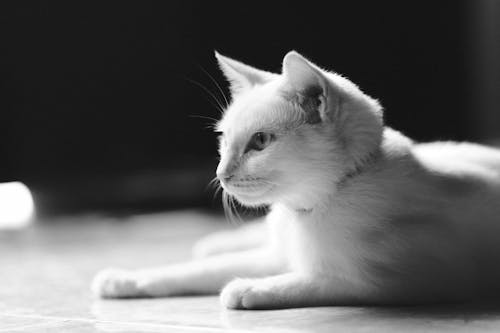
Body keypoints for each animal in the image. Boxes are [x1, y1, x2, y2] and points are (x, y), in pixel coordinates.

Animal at [92, 50, 500, 308]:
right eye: (224, 139)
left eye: (259, 142)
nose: (221, 175)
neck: (303, 213)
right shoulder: (276, 254)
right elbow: (192, 271)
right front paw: (124, 279)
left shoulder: (420, 281)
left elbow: (321, 281)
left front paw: (249, 289)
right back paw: (215, 243)